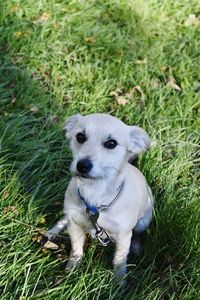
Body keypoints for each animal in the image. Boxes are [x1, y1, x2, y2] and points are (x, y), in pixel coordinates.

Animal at [47, 113, 153, 276]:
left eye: (111, 143)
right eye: (80, 136)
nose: (82, 166)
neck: (95, 195)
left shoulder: (123, 236)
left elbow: (119, 261)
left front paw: (119, 280)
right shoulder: (74, 226)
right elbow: (76, 250)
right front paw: (72, 269)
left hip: (143, 221)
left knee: (138, 233)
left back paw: (136, 247)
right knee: (64, 218)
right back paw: (52, 231)